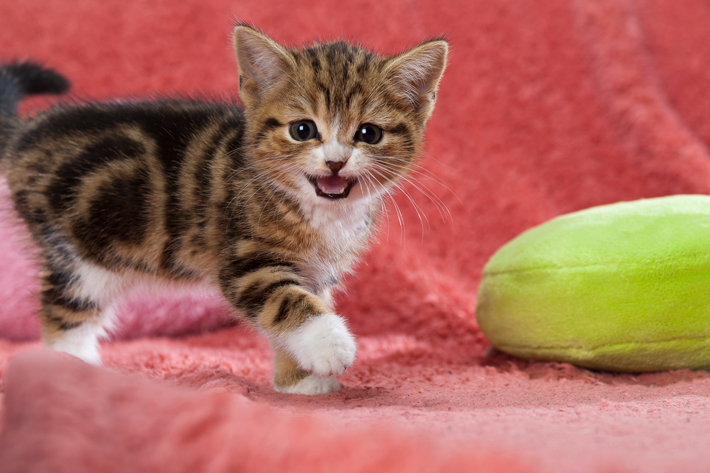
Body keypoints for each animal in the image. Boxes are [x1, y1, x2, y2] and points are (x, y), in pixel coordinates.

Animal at [0, 26, 448, 394]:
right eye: (303, 129)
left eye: (368, 133)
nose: (335, 162)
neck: (318, 212)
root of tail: (24, 133)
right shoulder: (246, 260)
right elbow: (288, 300)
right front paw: (331, 345)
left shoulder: (317, 272)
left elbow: (296, 308)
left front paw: (298, 381)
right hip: (81, 254)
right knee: (64, 310)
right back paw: (71, 367)